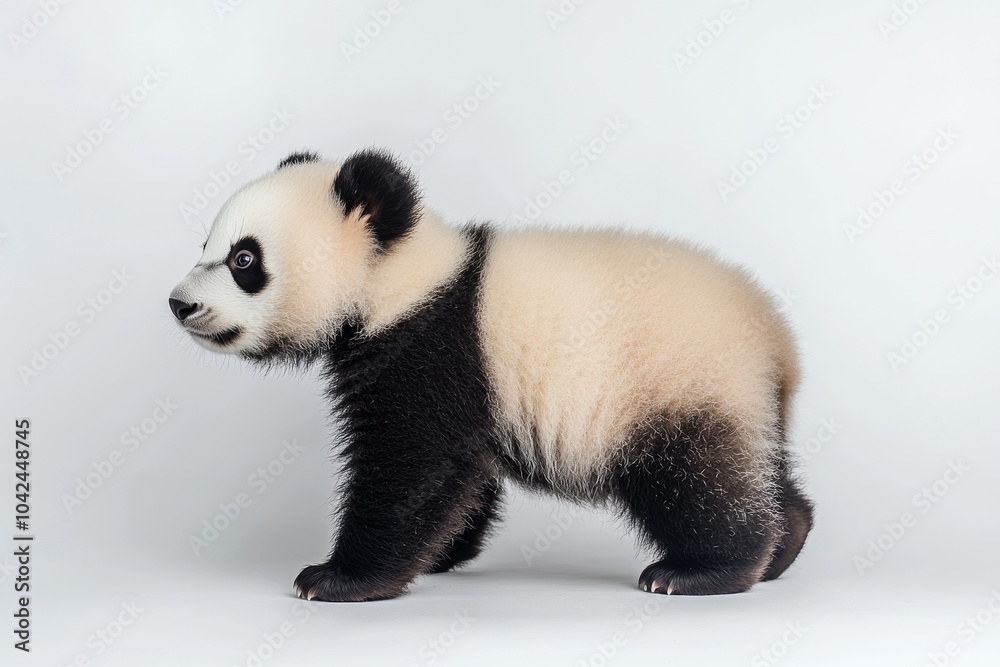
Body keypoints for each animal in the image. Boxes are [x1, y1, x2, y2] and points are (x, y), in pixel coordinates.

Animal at [169, 148, 813, 602]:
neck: (399, 276)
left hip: (678, 380)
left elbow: (411, 467)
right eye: (206, 245)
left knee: (698, 481)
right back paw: (787, 542)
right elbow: (459, 476)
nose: (179, 303)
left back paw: (700, 570)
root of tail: (779, 344)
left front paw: (336, 577)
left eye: (245, 260)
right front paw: (440, 554)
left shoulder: (431, 345)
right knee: (752, 469)